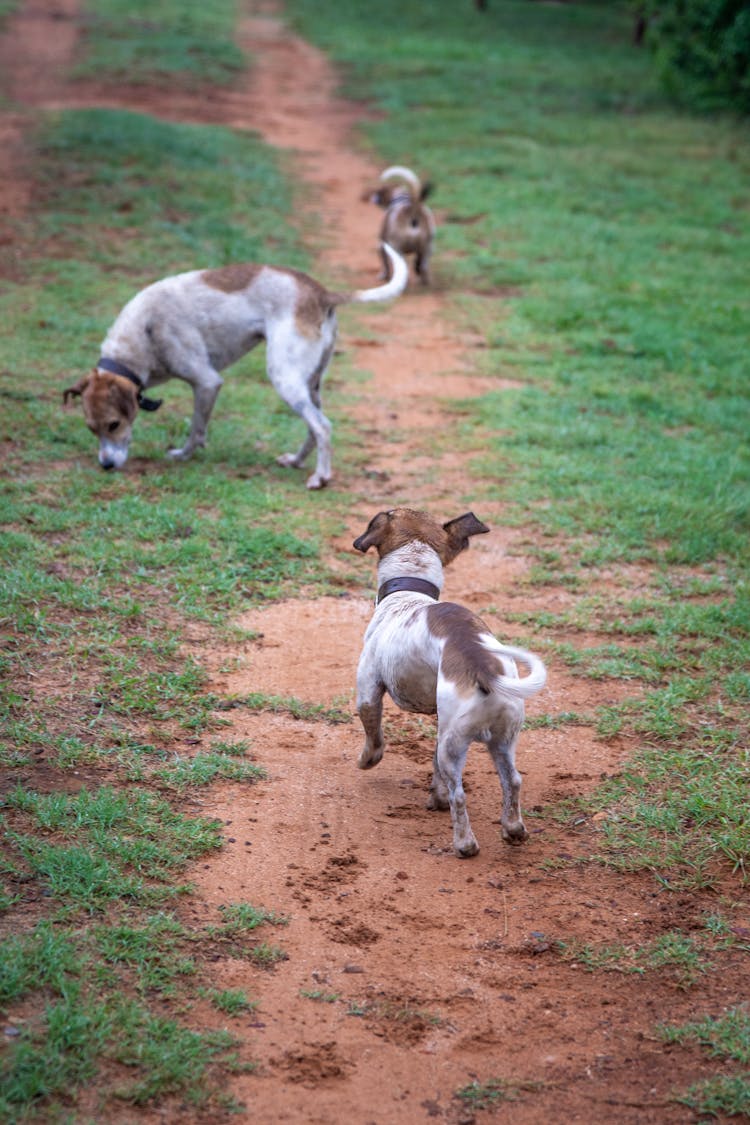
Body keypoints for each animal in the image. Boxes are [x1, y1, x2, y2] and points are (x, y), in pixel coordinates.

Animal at [62, 244, 407, 490]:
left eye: (114, 424)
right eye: (91, 429)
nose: (106, 466)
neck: (143, 334)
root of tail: (321, 292)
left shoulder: (207, 382)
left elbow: (196, 429)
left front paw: (184, 456)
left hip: (284, 377)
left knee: (322, 426)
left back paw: (320, 477)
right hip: (310, 384)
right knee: (315, 426)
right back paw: (296, 461)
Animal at [355, 506, 548, 855]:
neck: (409, 593)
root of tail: (482, 665)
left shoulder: (367, 692)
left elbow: (374, 739)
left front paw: (367, 760)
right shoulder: (438, 718)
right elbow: (435, 769)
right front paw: (436, 795)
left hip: (454, 745)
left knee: (460, 796)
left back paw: (464, 844)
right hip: (500, 739)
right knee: (512, 781)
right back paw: (513, 829)